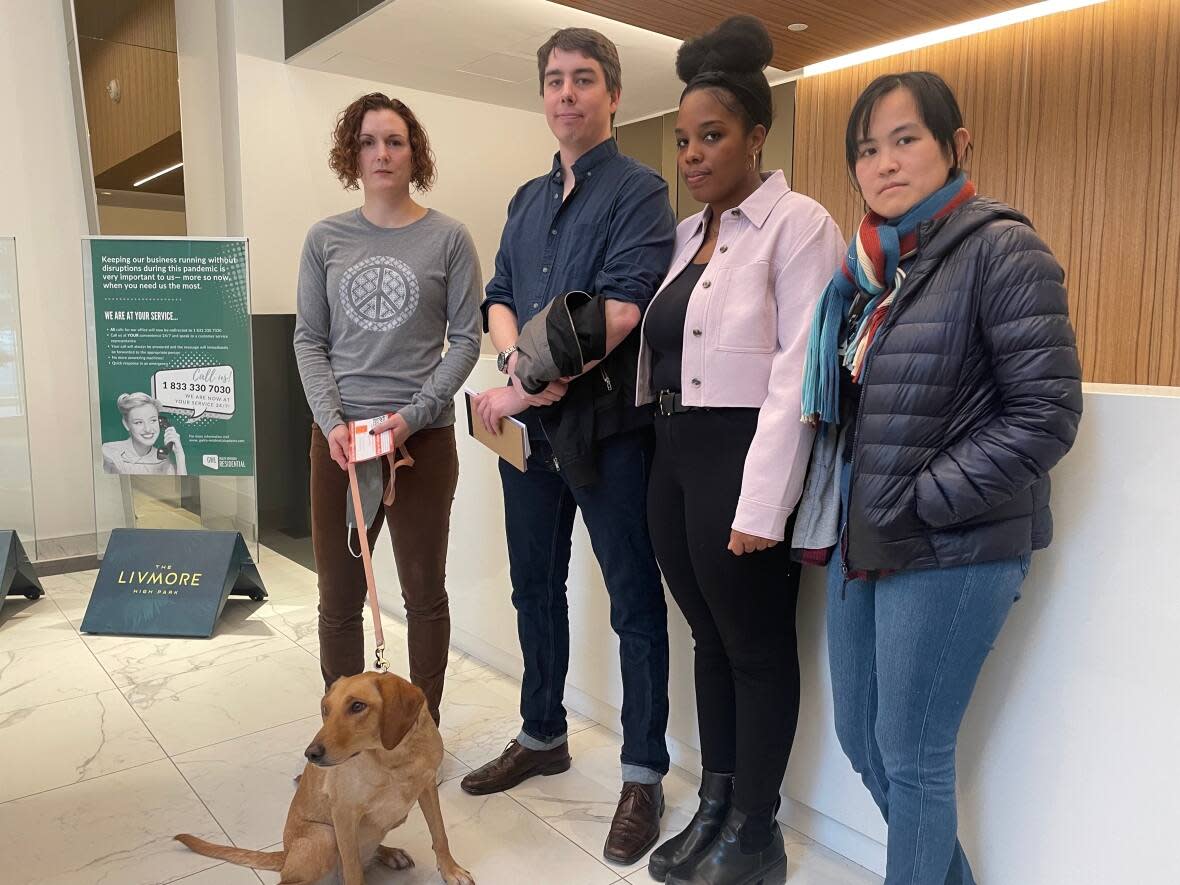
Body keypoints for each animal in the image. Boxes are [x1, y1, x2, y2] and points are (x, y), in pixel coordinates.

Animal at [174, 674, 469, 882]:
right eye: (325, 709)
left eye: (358, 706)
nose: (311, 754)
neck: (394, 758)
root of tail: (286, 855)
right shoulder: (343, 813)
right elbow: (353, 871)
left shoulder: (427, 787)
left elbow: (440, 834)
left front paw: (451, 870)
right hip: (324, 836)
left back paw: (389, 853)